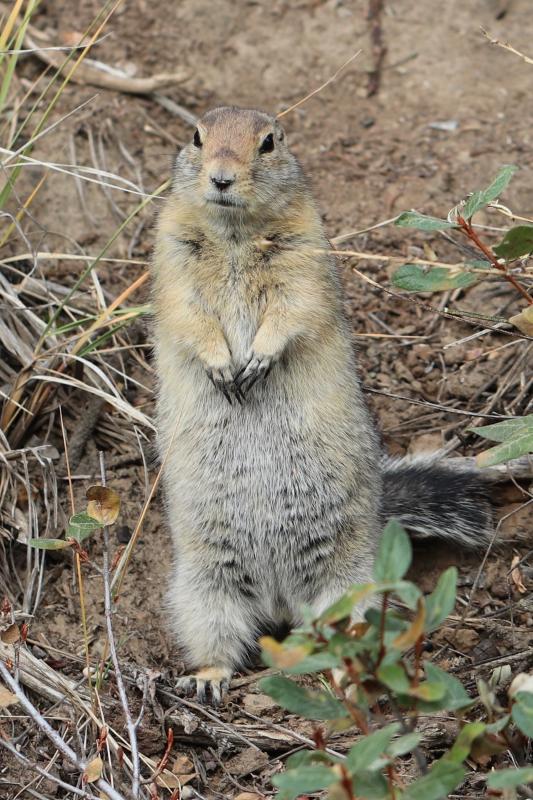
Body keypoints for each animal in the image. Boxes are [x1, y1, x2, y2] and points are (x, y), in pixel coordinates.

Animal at [151, 108, 490, 708]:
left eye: (268, 142)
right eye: (195, 135)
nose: (221, 178)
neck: (234, 233)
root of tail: (281, 600)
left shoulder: (306, 254)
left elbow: (295, 307)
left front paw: (256, 360)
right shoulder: (171, 257)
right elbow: (187, 313)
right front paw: (223, 367)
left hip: (348, 582)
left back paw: (345, 678)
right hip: (202, 591)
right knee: (221, 640)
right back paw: (207, 677)